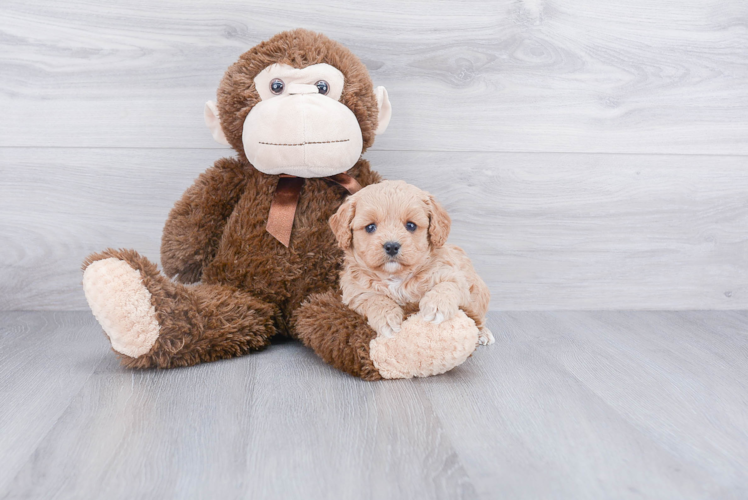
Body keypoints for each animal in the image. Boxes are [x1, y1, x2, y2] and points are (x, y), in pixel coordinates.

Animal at [328, 180, 494, 344]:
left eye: (411, 225)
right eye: (370, 227)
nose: (392, 246)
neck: (396, 277)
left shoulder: (455, 276)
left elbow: (447, 285)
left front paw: (436, 306)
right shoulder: (355, 292)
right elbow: (374, 298)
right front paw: (387, 318)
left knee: (478, 318)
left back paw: (484, 333)